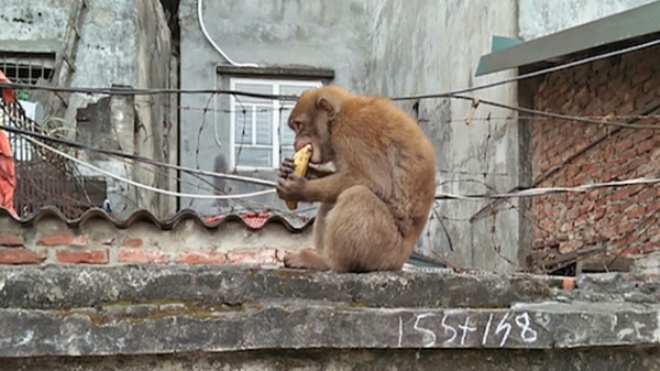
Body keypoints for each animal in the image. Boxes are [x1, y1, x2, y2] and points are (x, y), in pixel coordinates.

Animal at [276, 85, 436, 274]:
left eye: (299, 125)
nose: (295, 142)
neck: (337, 117)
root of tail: (402, 260)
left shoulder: (352, 130)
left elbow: (375, 181)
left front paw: (299, 189)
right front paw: (301, 172)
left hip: (386, 250)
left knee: (358, 195)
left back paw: (328, 263)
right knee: (331, 200)